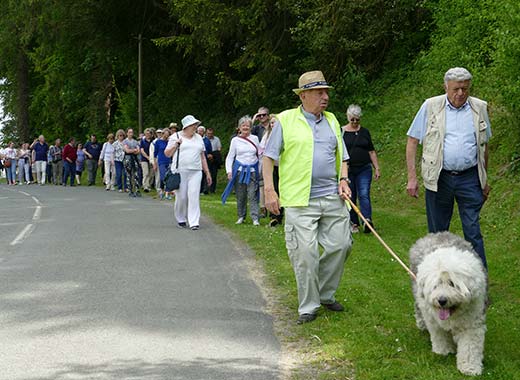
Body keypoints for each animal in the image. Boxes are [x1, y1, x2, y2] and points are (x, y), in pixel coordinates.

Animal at [410, 232, 488, 374]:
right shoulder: (433, 321)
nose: (441, 300)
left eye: (452, 283)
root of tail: (434, 234)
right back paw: (421, 324)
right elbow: (439, 335)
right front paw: (443, 351)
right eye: (436, 285)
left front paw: (470, 367)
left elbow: (469, 345)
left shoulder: (472, 322)